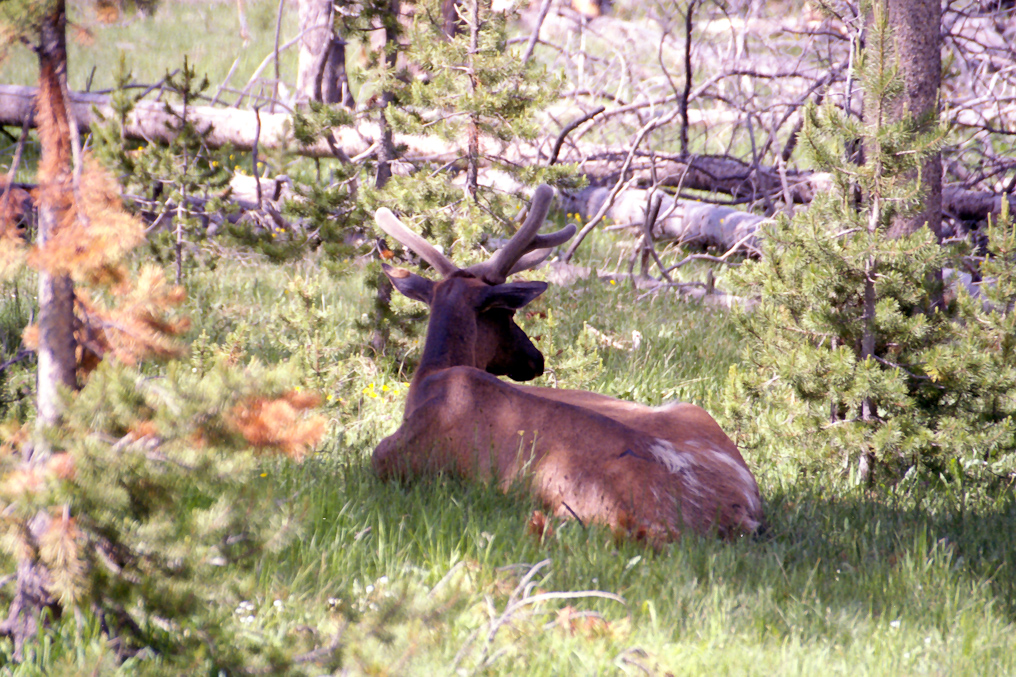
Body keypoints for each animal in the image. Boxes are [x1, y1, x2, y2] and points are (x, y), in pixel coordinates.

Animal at [372, 185, 764, 543]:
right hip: (690, 410)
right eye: (508, 314)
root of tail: (738, 515)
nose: (536, 359)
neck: (432, 376)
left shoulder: (392, 456)